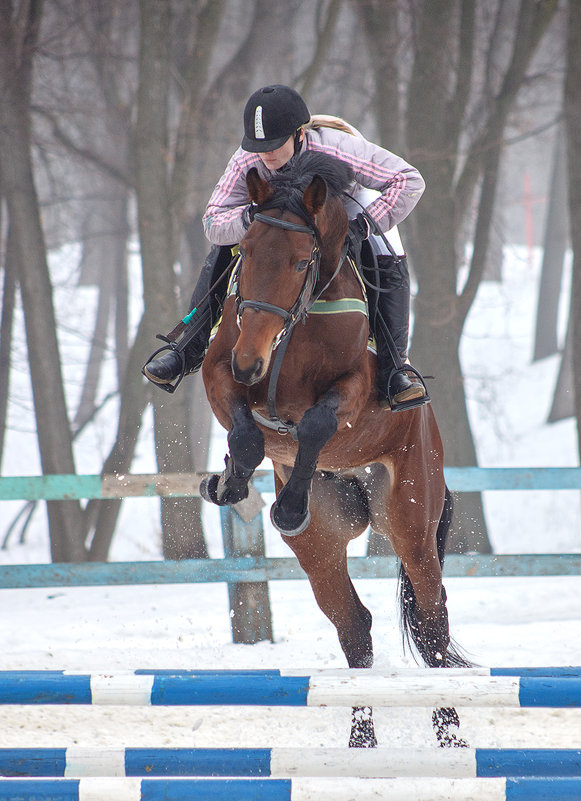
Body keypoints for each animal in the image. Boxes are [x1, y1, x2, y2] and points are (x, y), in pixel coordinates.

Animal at [202, 152, 468, 752]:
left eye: (303, 262)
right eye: (245, 253)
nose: (252, 363)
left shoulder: (352, 391)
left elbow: (317, 423)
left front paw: (285, 502)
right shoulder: (218, 372)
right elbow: (246, 431)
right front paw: (231, 481)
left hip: (411, 521)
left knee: (432, 623)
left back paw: (451, 740)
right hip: (324, 544)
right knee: (355, 624)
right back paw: (362, 741)